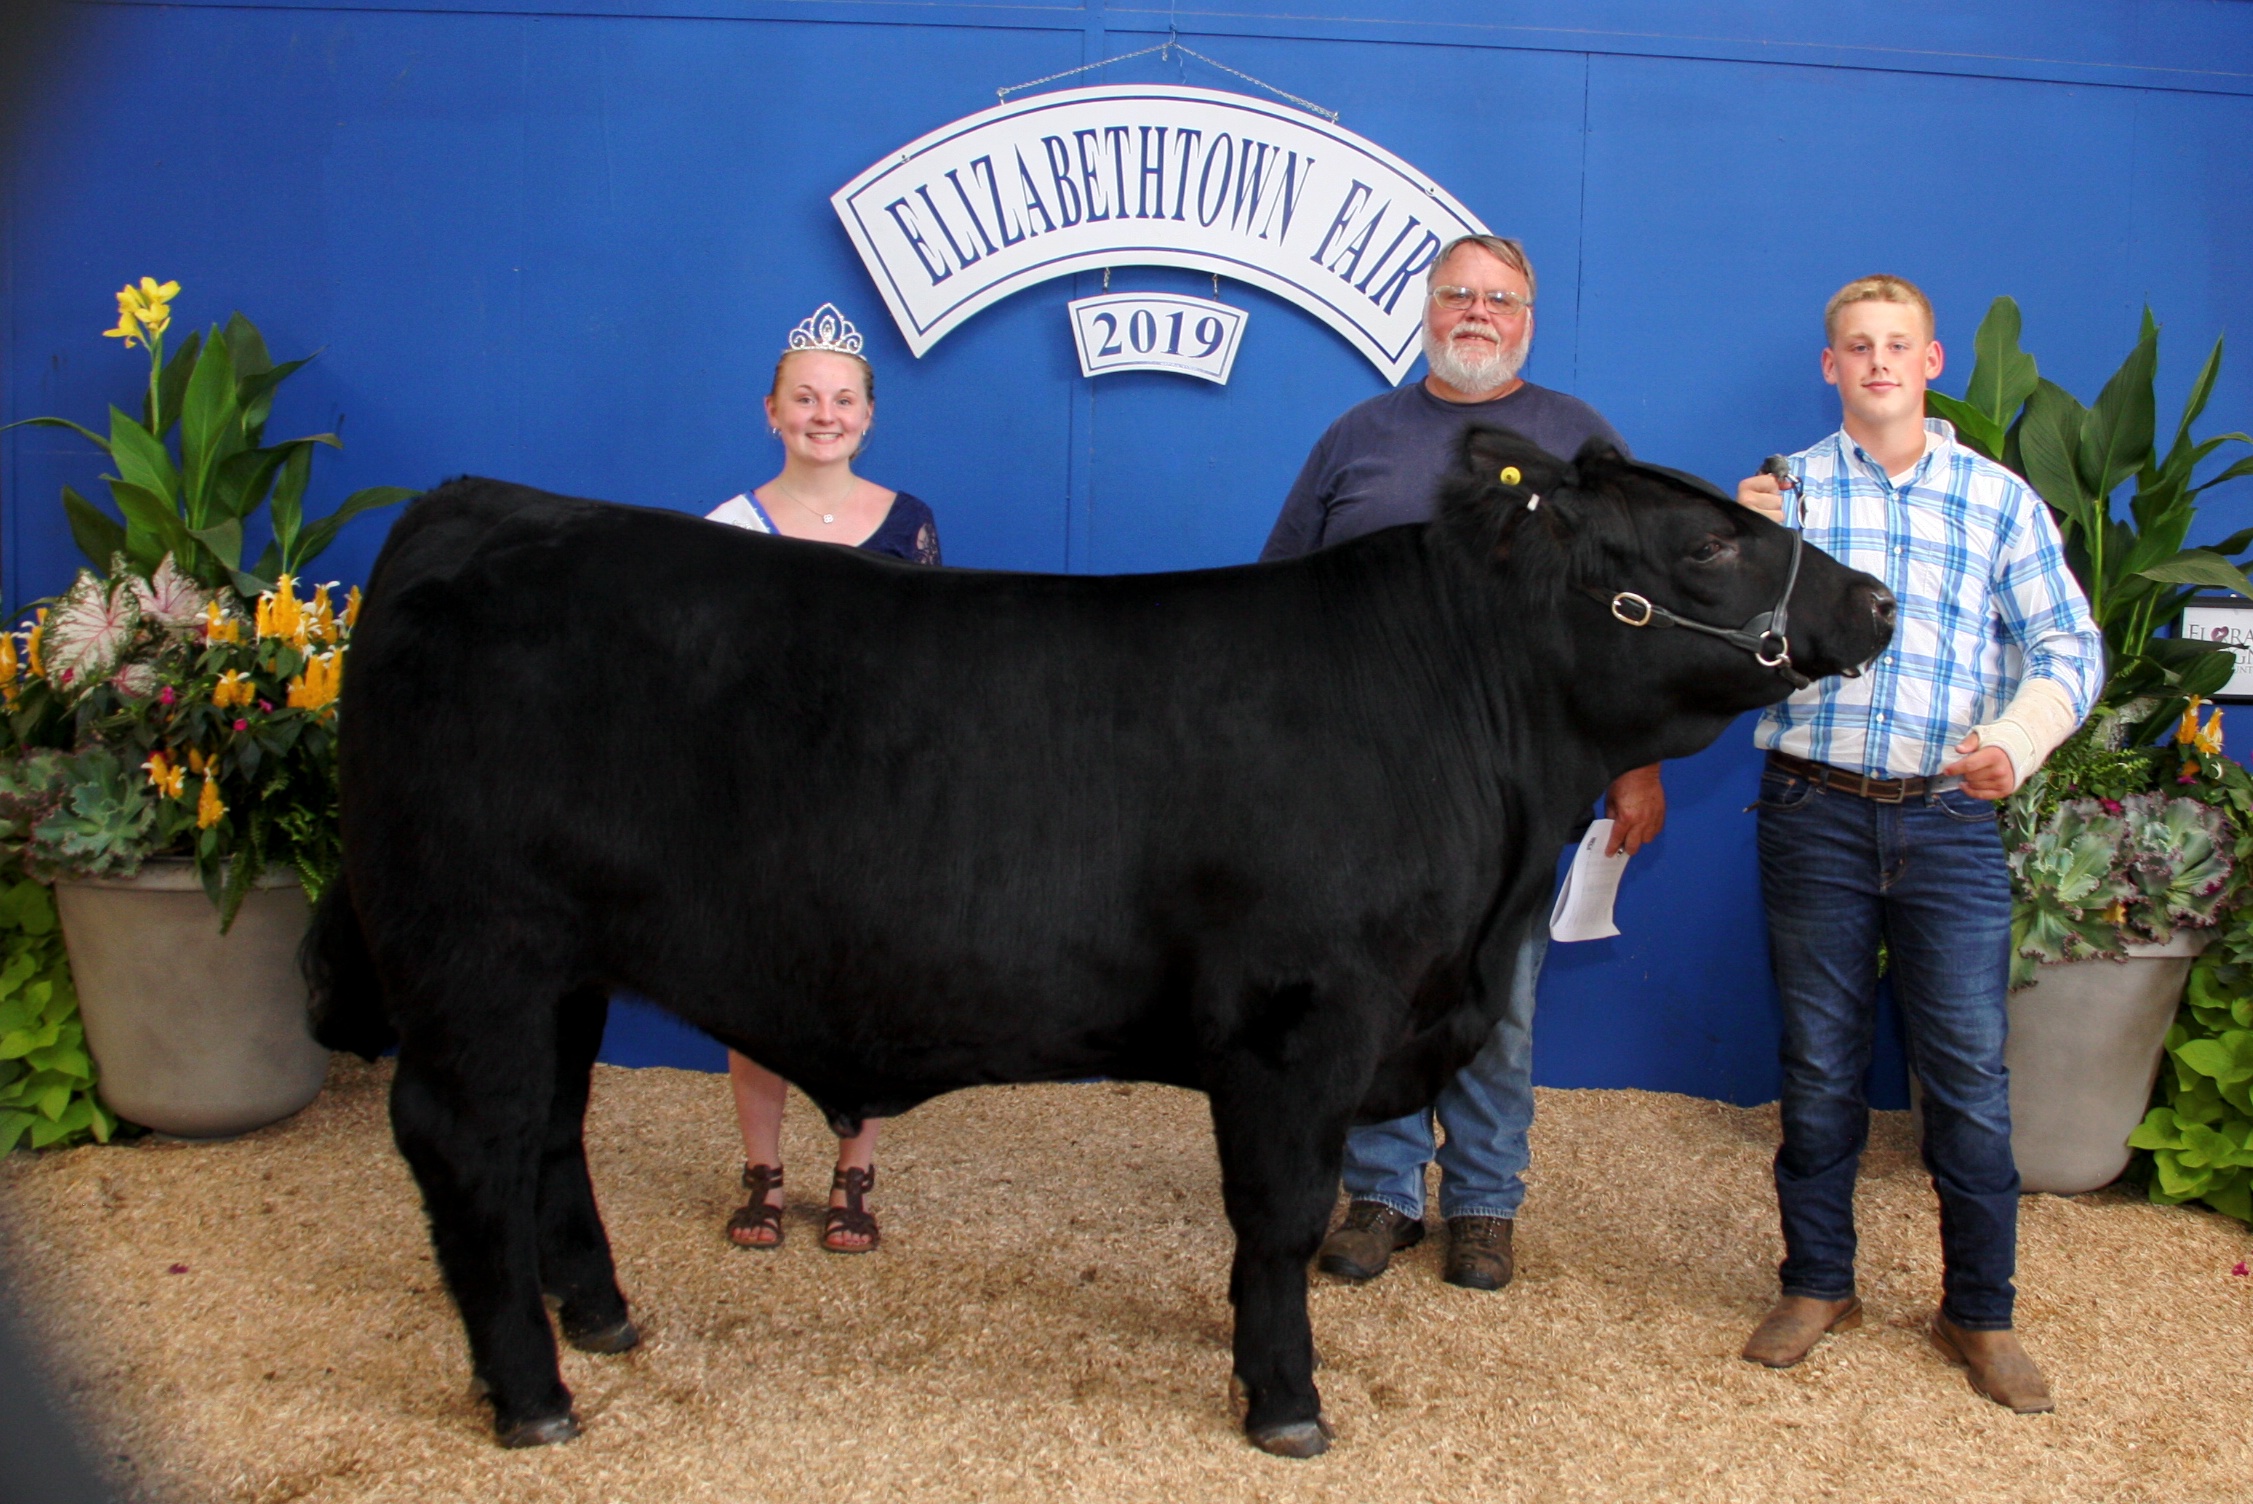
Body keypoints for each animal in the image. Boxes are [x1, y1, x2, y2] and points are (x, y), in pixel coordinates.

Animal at [309, 426, 1894, 1457]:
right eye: (1708, 537)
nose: (1874, 598)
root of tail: (475, 503)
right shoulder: (1303, 1023)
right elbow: (1279, 1216)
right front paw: (1286, 1404)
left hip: (563, 967)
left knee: (548, 1130)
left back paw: (603, 1318)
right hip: (473, 951)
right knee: (466, 1140)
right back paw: (533, 1398)